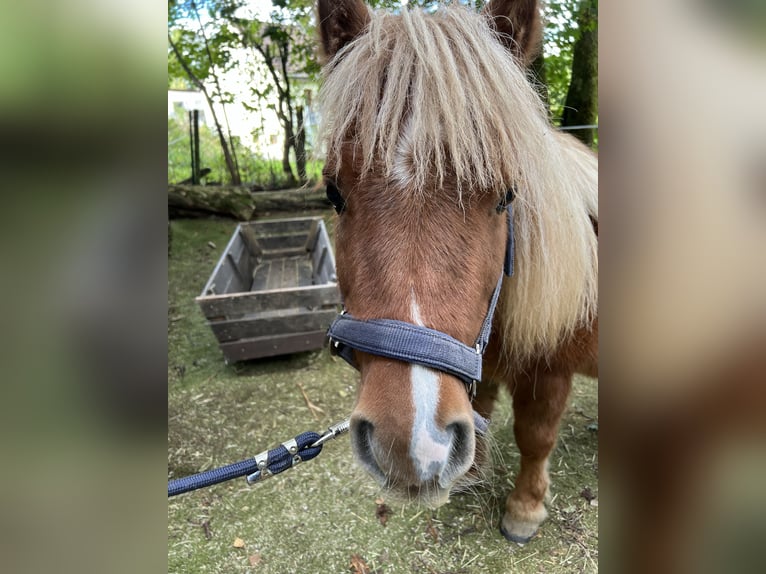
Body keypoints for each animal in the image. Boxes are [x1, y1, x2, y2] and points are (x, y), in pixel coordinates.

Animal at [316, 0, 600, 544]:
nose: (410, 447)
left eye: (506, 196)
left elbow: (535, 434)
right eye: (334, 194)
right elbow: (481, 404)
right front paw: (471, 474)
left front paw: (525, 507)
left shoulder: (552, 369)